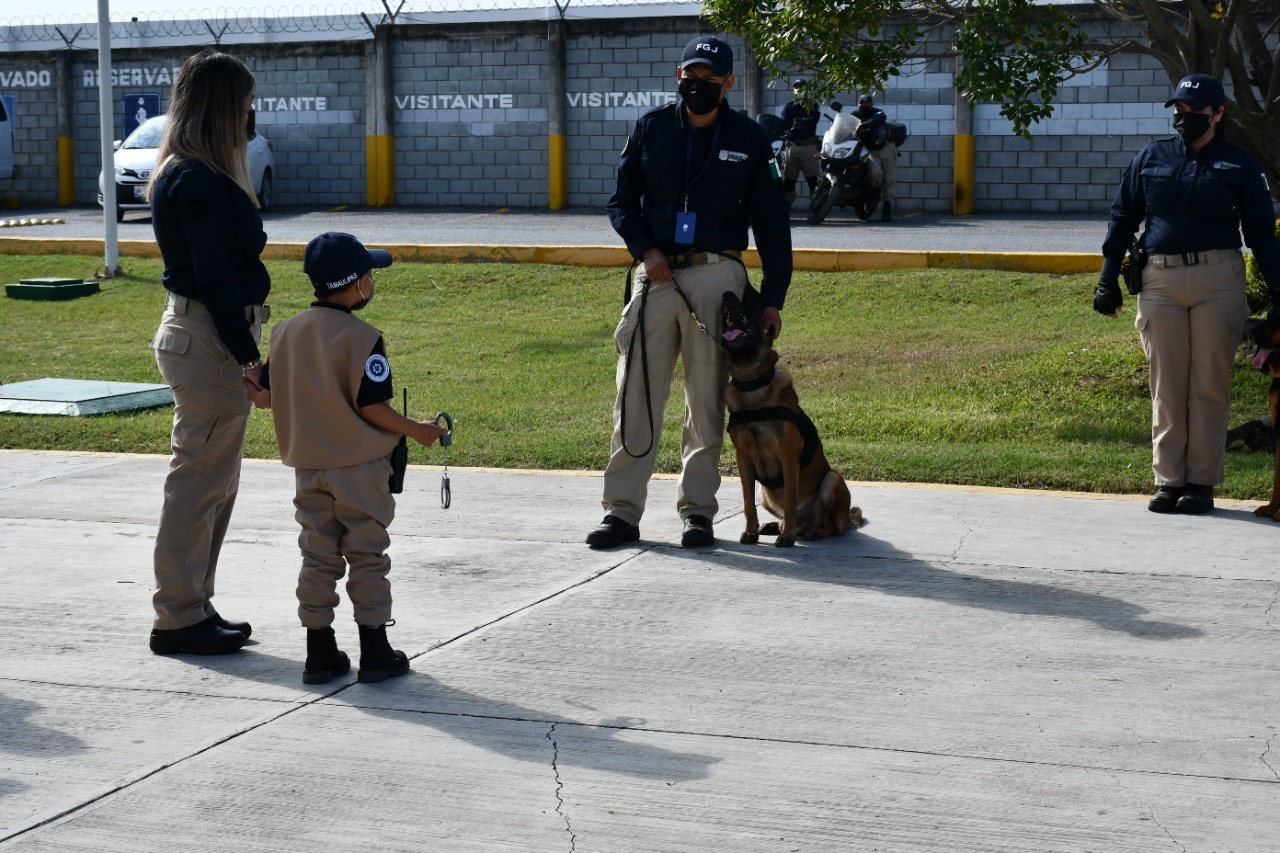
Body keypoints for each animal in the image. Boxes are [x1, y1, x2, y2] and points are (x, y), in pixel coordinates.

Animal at [721, 285, 860, 545]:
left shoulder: (788, 457)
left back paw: (809, 530)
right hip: (764, 493)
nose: (726, 294)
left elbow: (789, 501)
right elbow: (747, 503)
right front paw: (750, 531)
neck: (752, 383)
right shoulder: (743, 459)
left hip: (832, 479)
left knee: (834, 527)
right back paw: (777, 526)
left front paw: (786, 538)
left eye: (751, 298)